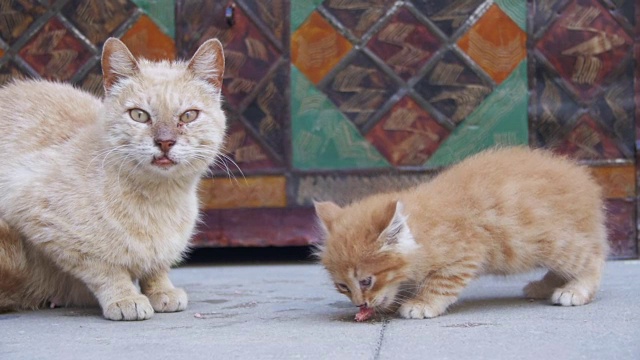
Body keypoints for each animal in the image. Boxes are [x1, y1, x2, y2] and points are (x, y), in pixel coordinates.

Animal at [0, 38, 226, 320]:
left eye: (188, 115)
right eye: (139, 115)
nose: (164, 142)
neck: (159, 200)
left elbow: (157, 268)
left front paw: (162, 291)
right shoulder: (37, 214)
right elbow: (106, 269)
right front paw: (125, 298)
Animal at [318, 148, 608, 322]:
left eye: (366, 281)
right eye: (343, 286)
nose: (359, 304)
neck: (423, 230)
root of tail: (584, 180)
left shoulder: (465, 254)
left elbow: (440, 283)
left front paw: (421, 303)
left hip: (553, 240)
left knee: (591, 256)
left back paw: (575, 290)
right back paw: (544, 286)